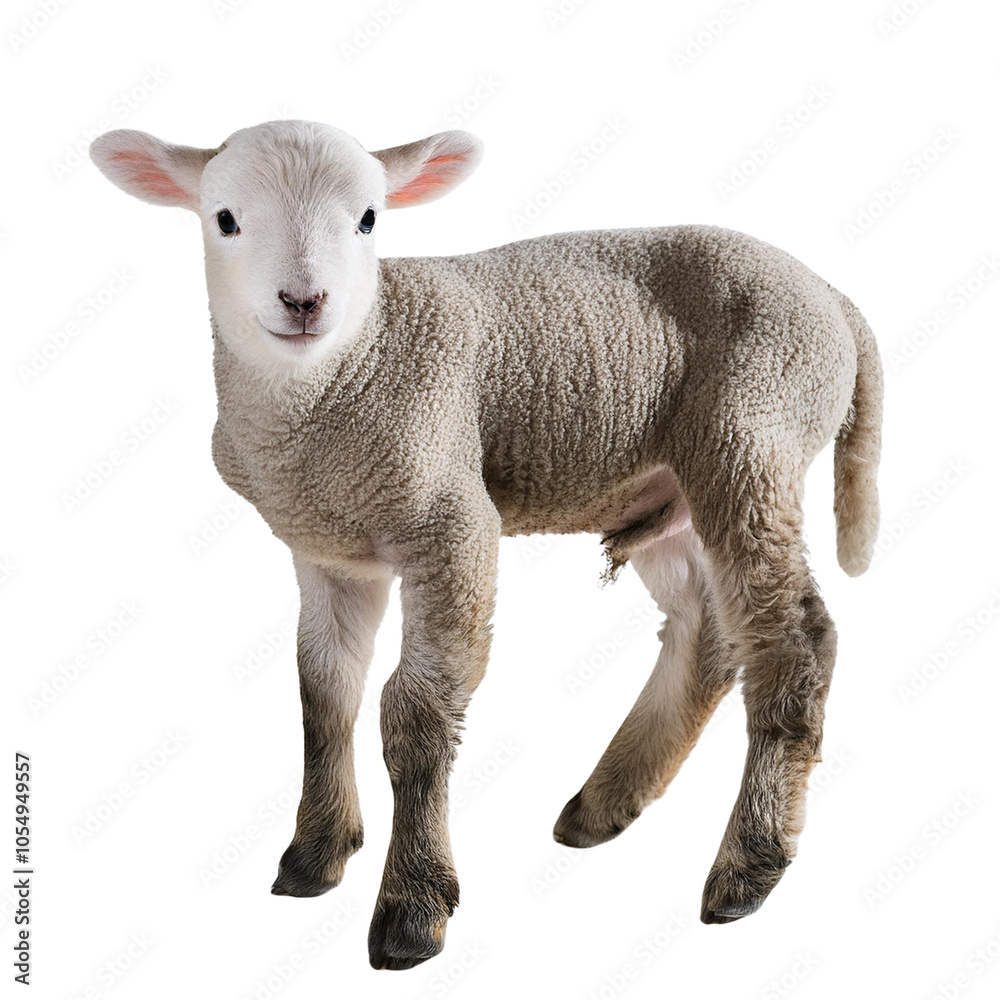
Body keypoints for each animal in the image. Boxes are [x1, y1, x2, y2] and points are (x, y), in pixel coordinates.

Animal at [89, 119, 882, 970]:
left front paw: (412, 906)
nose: (304, 301)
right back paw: (606, 804)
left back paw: (748, 867)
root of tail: (834, 300)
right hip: (675, 489)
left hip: (755, 431)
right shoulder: (329, 553)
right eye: (226, 218)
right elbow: (322, 695)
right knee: (708, 631)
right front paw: (314, 855)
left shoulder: (452, 523)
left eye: (369, 218)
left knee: (795, 640)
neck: (348, 369)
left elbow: (414, 712)